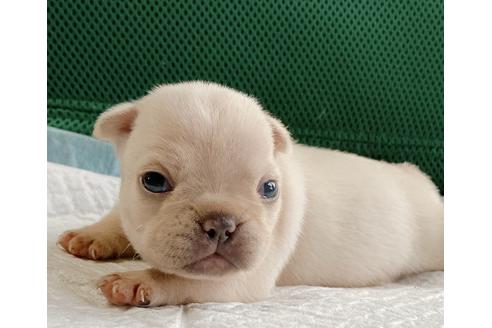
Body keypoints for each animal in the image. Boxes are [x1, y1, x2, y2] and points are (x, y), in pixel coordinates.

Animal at [56, 80, 442, 306]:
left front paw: (137, 281)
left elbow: (179, 279)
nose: (221, 223)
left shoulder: (237, 282)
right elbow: (118, 218)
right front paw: (93, 234)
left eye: (269, 189)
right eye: (153, 181)